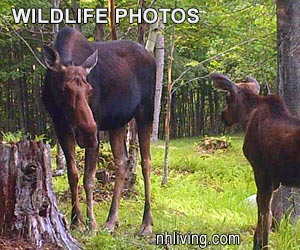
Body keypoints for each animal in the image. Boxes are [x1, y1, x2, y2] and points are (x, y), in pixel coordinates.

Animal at [42, 26, 156, 234]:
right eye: (65, 89)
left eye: (90, 89)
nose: (88, 133)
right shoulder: (60, 126)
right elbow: (72, 174)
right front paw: (76, 221)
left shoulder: (97, 124)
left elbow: (89, 178)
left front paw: (91, 223)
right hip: (118, 122)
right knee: (122, 161)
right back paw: (111, 221)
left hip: (146, 109)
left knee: (146, 162)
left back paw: (146, 223)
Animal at [210, 73, 300, 250]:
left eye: (227, 97)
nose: (222, 115)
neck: (247, 119)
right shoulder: (273, 180)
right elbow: (267, 211)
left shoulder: (260, 169)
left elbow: (264, 211)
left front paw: (262, 244)